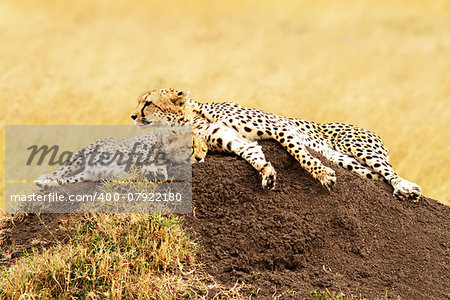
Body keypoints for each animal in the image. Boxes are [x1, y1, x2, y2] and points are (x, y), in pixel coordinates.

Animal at [35, 128, 193, 188]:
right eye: (190, 146)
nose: (195, 156)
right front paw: (155, 169)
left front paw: (158, 171)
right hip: (84, 153)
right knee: (61, 170)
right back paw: (45, 178)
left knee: (67, 178)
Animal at [130, 89, 422, 202]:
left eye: (148, 103)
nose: (132, 116)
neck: (197, 122)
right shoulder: (238, 140)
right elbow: (254, 152)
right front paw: (267, 173)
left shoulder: (281, 128)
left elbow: (300, 153)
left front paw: (322, 175)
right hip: (352, 165)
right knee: (375, 176)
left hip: (362, 149)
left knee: (389, 172)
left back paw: (407, 188)